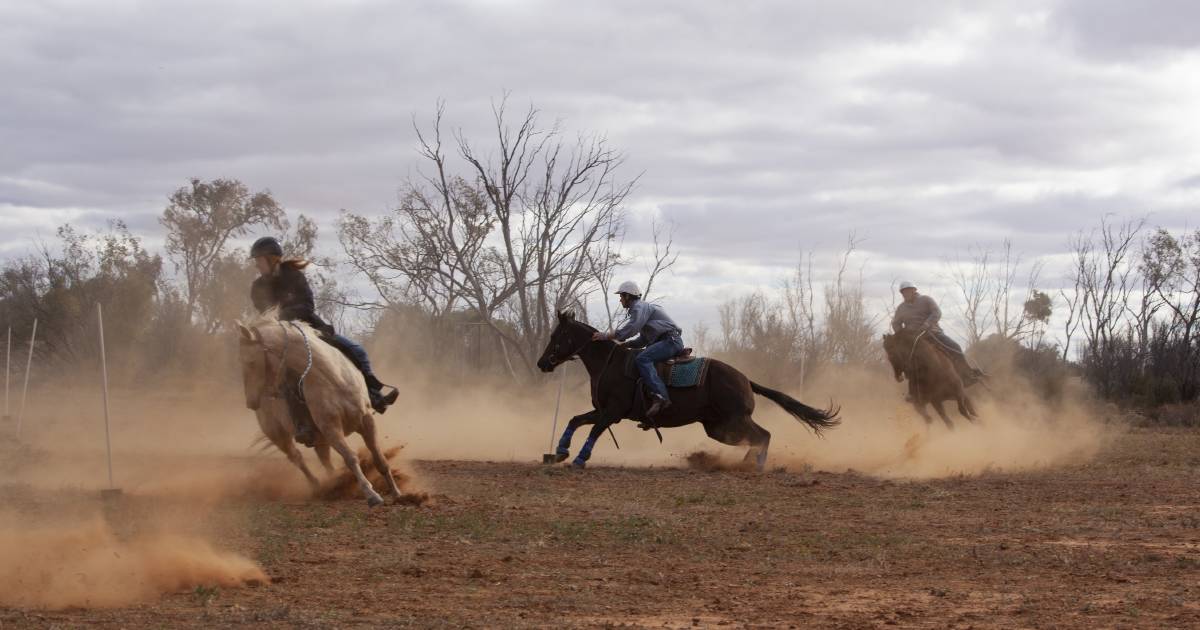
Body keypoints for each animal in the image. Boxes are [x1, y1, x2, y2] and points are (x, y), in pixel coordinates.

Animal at [234, 314, 403, 506]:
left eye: (250, 362)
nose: (251, 401)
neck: (332, 378)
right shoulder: (330, 428)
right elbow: (350, 457)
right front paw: (371, 494)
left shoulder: (366, 421)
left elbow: (379, 459)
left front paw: (396, 492)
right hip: (277, 434)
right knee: (296, 458)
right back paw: (317, 485)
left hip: (319, 438)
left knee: (325, 461)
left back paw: (335, 485)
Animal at [540, 312, 840, 468]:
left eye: (556, 336)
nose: (542, 363)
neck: (609, 363)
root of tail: (744, 379)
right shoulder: (602, 410)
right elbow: (575, 420)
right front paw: (559, 452)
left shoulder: (613, 412)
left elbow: (594, 430)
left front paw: (580, 458)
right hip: (718, 427)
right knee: (756, 438)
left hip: (734, 419)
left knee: (763, 435)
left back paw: (752, 466)